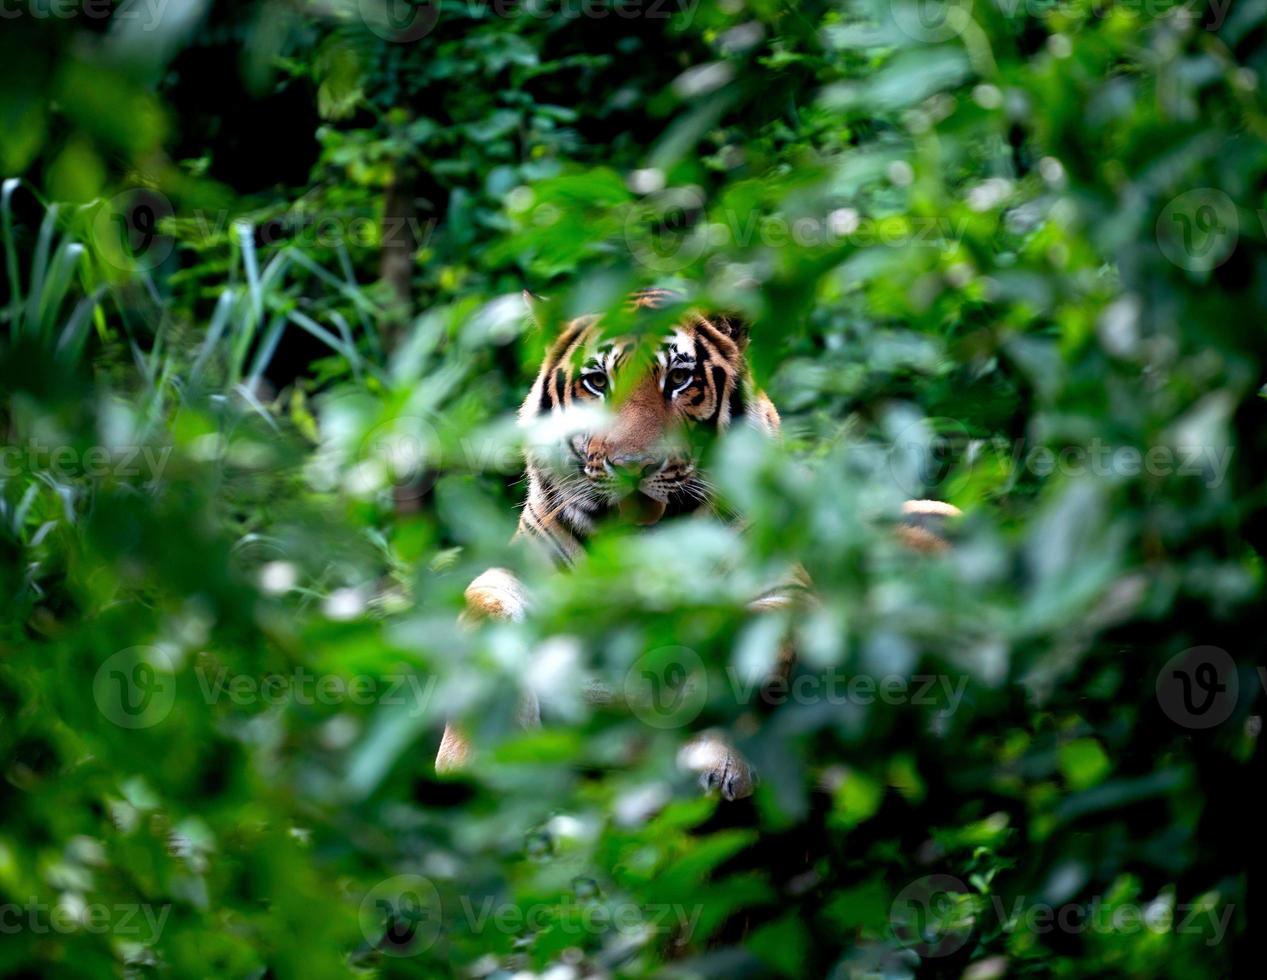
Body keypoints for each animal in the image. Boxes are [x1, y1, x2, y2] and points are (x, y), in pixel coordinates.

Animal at [430, 286, 952, 801]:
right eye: (596, 382)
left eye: (679, 378)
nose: (633, 466)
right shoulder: (515, 573)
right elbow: (487, 616)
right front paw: (466, 759)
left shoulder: (783, 590)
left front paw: (718, 762)